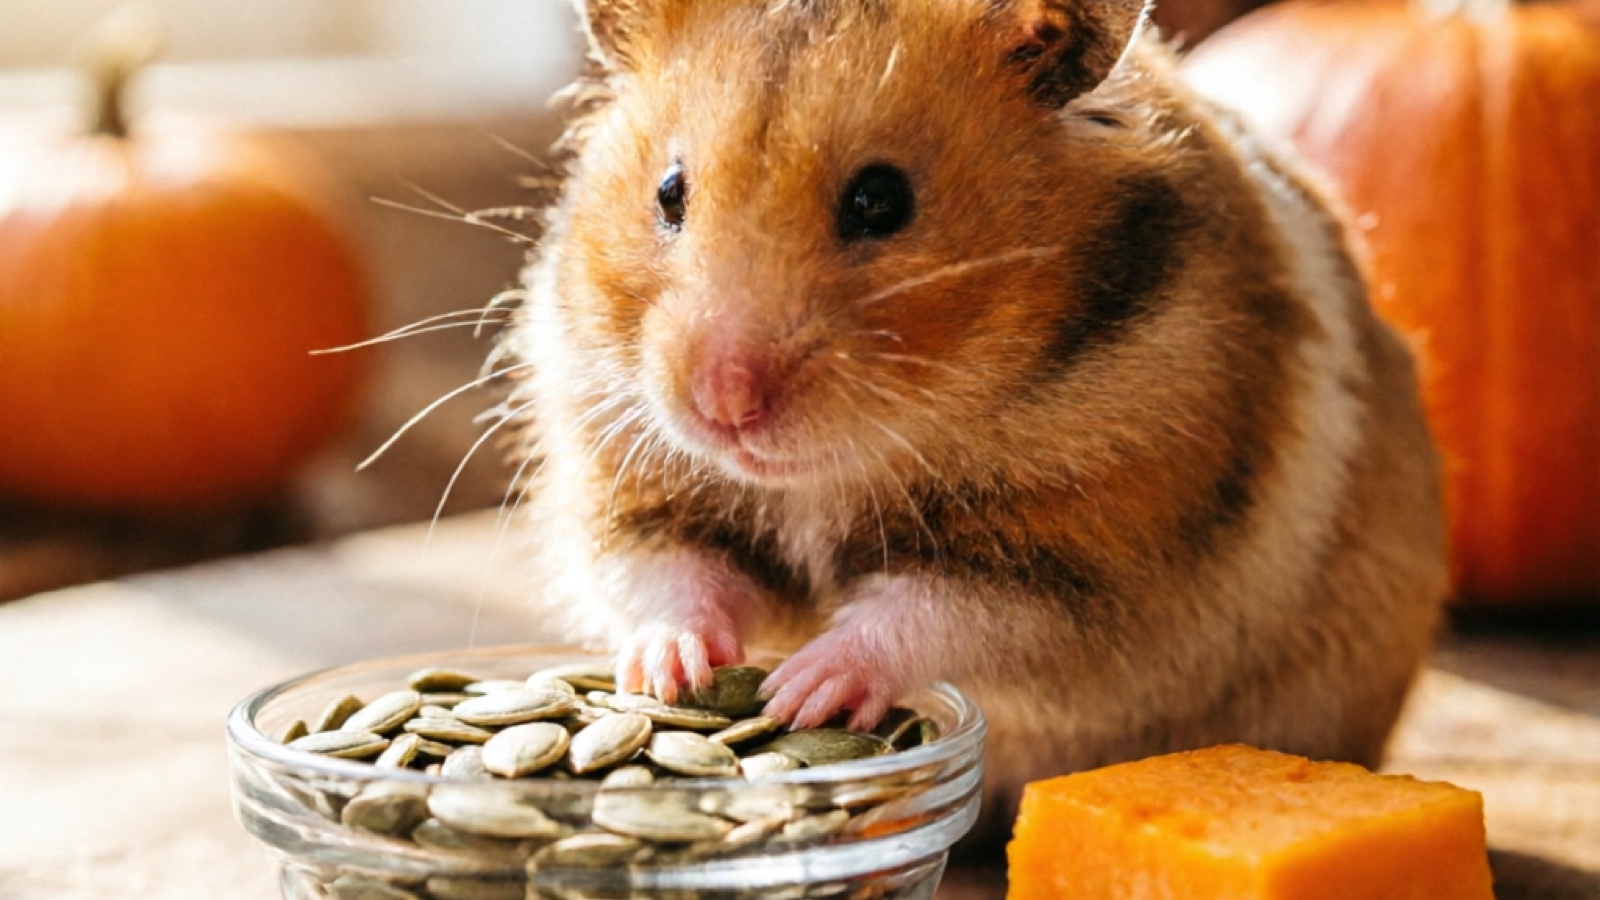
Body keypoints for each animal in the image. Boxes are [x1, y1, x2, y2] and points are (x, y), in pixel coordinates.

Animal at [502, 0, 1448, 841]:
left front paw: (799, 688)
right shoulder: (629, 479)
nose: (723, 403)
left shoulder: (1085, 556)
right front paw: (668, 674)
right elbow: (673, 575)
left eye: (880, 201)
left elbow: (932, 613)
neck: (842, 464)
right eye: (669, 192)